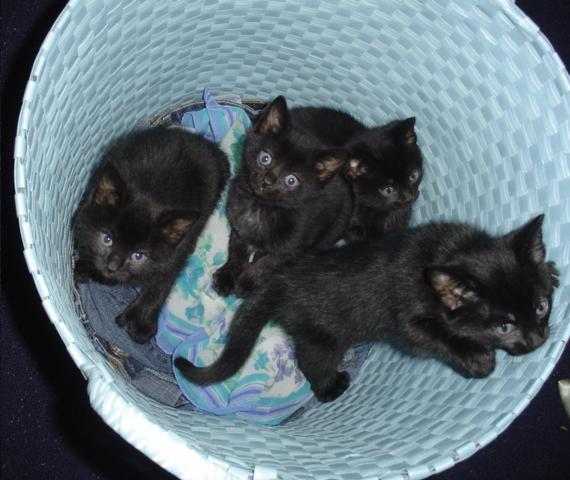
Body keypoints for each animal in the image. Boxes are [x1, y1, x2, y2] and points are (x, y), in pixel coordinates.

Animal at [73, 124, 229, 342]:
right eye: (107, 239)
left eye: (138, 255)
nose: (112, 267)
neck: (150, 194)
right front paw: (87, 267)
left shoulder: (175, 254)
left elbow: (161, 283)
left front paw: (141, 321)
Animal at [176, 215, 556, 402]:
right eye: (503, 326)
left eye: (541, 307)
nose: (537, 340)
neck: (449, 250)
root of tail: (279, 281)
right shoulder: (405, 320)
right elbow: (430, 335)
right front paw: (478, 359)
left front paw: (551, 270)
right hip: (322, 335)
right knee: (311, 362)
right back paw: (331, 388)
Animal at [213, 96, 350, 298]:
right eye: (265, 158)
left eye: (291, 180)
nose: (267, 181)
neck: (260, 207)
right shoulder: (238, 224)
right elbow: (236, 250)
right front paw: (228, 275)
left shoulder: (296, 245)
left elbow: (270, 262)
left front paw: (248, 281)